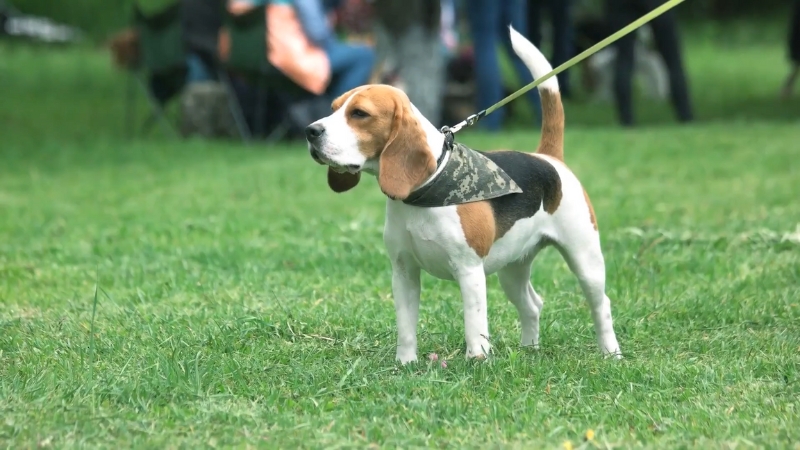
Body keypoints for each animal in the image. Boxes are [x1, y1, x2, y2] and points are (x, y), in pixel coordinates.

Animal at [304, 26, 620, 364]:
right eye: (334, 108)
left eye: (360, 113)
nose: (310, 131)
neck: (425, 190)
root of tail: (547, 158)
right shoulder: (403, 272)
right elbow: (406, 326)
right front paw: (405, 364)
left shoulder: (469, 271)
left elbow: (474, 325)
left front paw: (477, 362)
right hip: (513, 266)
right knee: (532, 304)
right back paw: (529, 350)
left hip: (584, 258)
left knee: (601, 304)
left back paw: (611, 353)